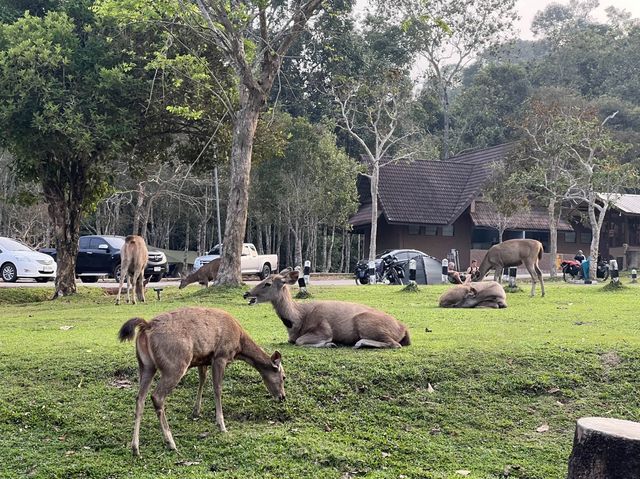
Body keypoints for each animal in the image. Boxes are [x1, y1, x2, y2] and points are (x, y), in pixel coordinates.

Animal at [119, 308, 284, 458]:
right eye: (283, 377)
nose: (282, 397)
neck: (239, 346)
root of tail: (146, 326)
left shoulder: (203, 360)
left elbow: (202, 380)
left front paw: (196, 411)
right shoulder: (220, 356)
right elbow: (217, 388)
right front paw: (221, 425)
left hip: (146, 365)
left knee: (140, 398)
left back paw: (135, 448)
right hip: (175, 364)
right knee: (157, 397)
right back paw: (170, 442)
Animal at [242, 270, 412, 348]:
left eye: (268, 283)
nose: (246, 294)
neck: (298, 320)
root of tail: (403, 328)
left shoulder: (323, 329)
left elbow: (299, 341)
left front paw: (330, 343)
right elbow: (294, 340)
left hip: (366, 322)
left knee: (394, 344)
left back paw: (359, 343)